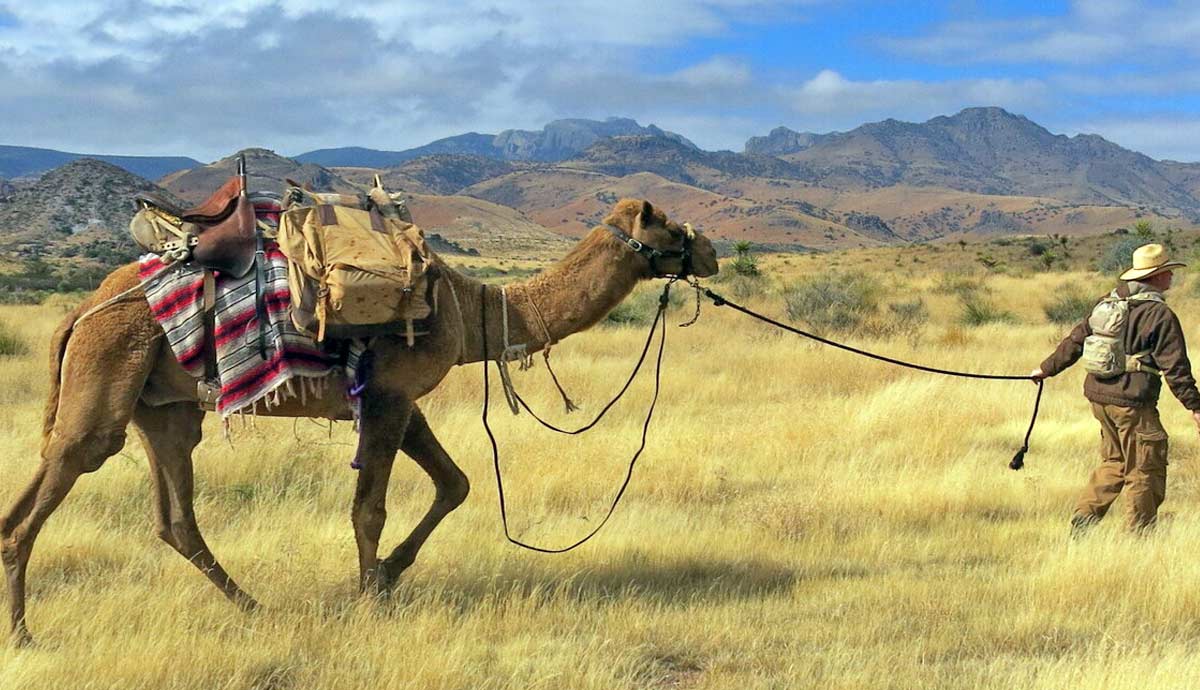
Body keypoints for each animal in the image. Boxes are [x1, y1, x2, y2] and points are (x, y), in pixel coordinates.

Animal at [0, 198, 718, 645]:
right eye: (665, 227)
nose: (709, 250)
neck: (473, 309)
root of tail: (83, 309)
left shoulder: (403, 399)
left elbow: (455, 484)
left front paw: (389, 576)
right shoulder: (388, 396)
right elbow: (369, 508)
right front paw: (369, 596)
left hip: (164, 408)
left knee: (174, 515)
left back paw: (255, 607)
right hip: (107, 371)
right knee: (52, 488)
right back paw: (24, 633)